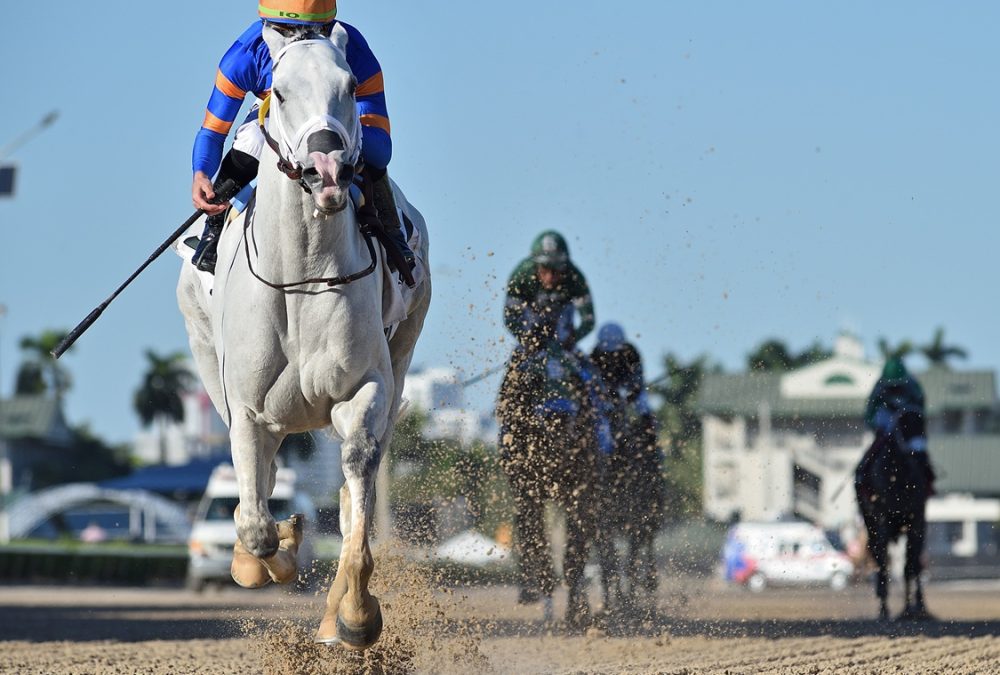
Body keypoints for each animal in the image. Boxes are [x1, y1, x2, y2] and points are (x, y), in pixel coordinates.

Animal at [175, 23, 430, 652]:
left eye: (349, 86)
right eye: (281, 92)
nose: (328, 168)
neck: (302, 274)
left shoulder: (364, 390)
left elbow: (356, 493)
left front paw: (355, 616)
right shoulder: (246, 409)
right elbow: (255, 525)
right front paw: (266, 555)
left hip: (404, 348)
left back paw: (334, 615)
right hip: (205, 358)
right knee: (260, 486)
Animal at [856, 406, 932, 624]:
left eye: (923, 424)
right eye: (905, 425)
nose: (921, 456)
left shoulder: (916, 521)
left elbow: (910, 566)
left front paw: (911, 609)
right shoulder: (880, 522)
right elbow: (882, 563)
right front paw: (884, 609)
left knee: (915, 563)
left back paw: (920, 606)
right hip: (871, 526)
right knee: (880, 559)